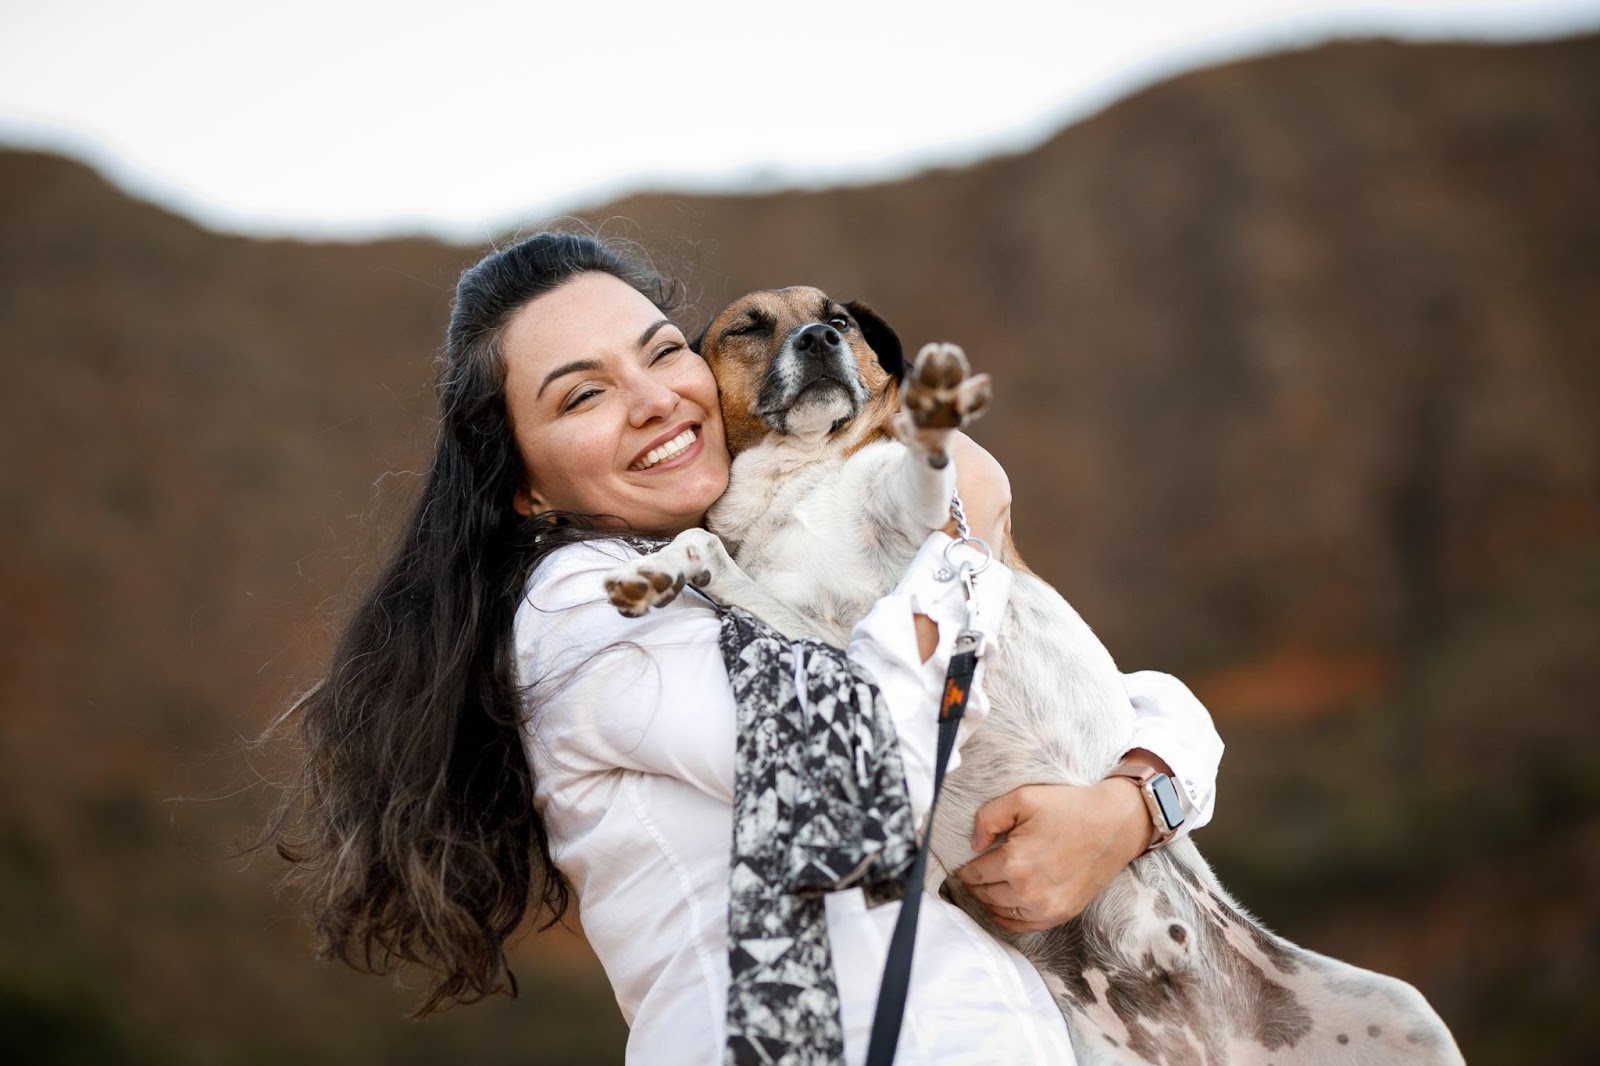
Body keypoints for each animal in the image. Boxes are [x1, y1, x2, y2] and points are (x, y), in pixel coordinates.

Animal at [601, 286, 1465, 1056]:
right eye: (748, 327)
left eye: (837, 317)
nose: (820, 339)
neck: (803, 477)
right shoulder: (841, 654)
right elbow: (708, 551)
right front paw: (661, 570)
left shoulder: (930, 531)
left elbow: (918, 470)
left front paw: (933, 406)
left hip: (1412, 1015)